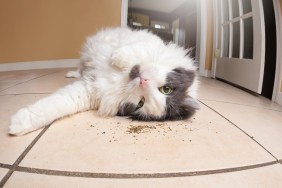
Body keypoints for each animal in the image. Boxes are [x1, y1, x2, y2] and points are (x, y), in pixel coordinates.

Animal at [8, 26, 198, 135]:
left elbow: (56, 106)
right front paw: (117, 57)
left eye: (141, 103)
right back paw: (71, 73)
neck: (123, 77)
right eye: (166, 89)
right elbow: (136, 49)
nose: (143, 81)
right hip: (86, 56)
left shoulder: (89, 91)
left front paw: (17, 125)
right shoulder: (152, 43)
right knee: (80, 67)